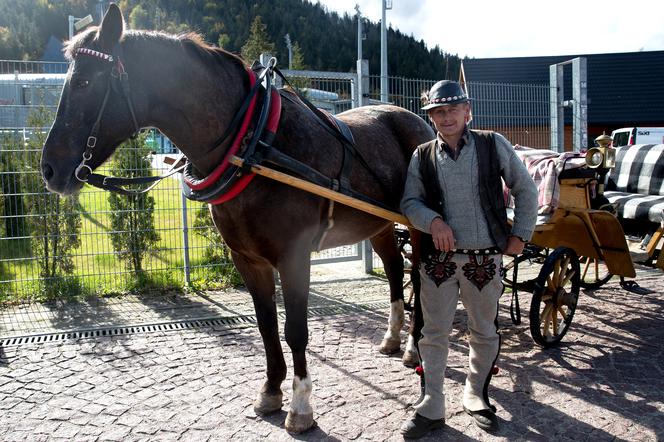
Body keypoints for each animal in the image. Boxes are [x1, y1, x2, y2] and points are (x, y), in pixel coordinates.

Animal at [42, 2, 436, 432]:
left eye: (83, 82)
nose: (48, 169)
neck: (254, 144)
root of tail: (417, 119)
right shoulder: (246, 258)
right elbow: (266, 325)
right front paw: (270, 391)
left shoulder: (293, 257)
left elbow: (295, 330)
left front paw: (300, 406)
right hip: (377, 225)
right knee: (396, 271)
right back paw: (393, 337)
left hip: (421, 228)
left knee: (420, 280)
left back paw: (414, 346)